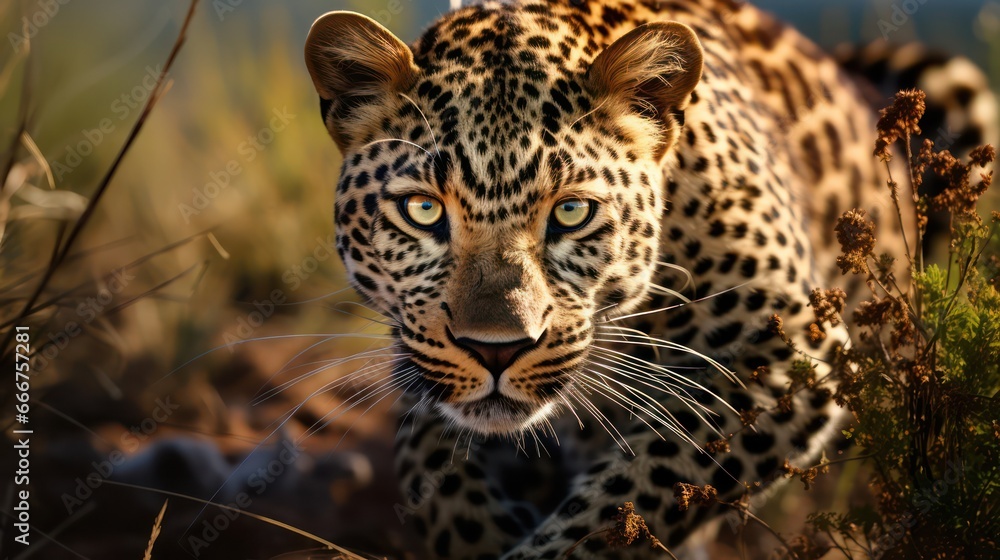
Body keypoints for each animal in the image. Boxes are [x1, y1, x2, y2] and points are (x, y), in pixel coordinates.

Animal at [302, 1, 996, 557]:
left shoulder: (788, 356)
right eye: (423, 210)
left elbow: (619, 510)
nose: (495, 350)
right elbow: (434, 478)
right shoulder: (419, 366)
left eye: (571, 212)